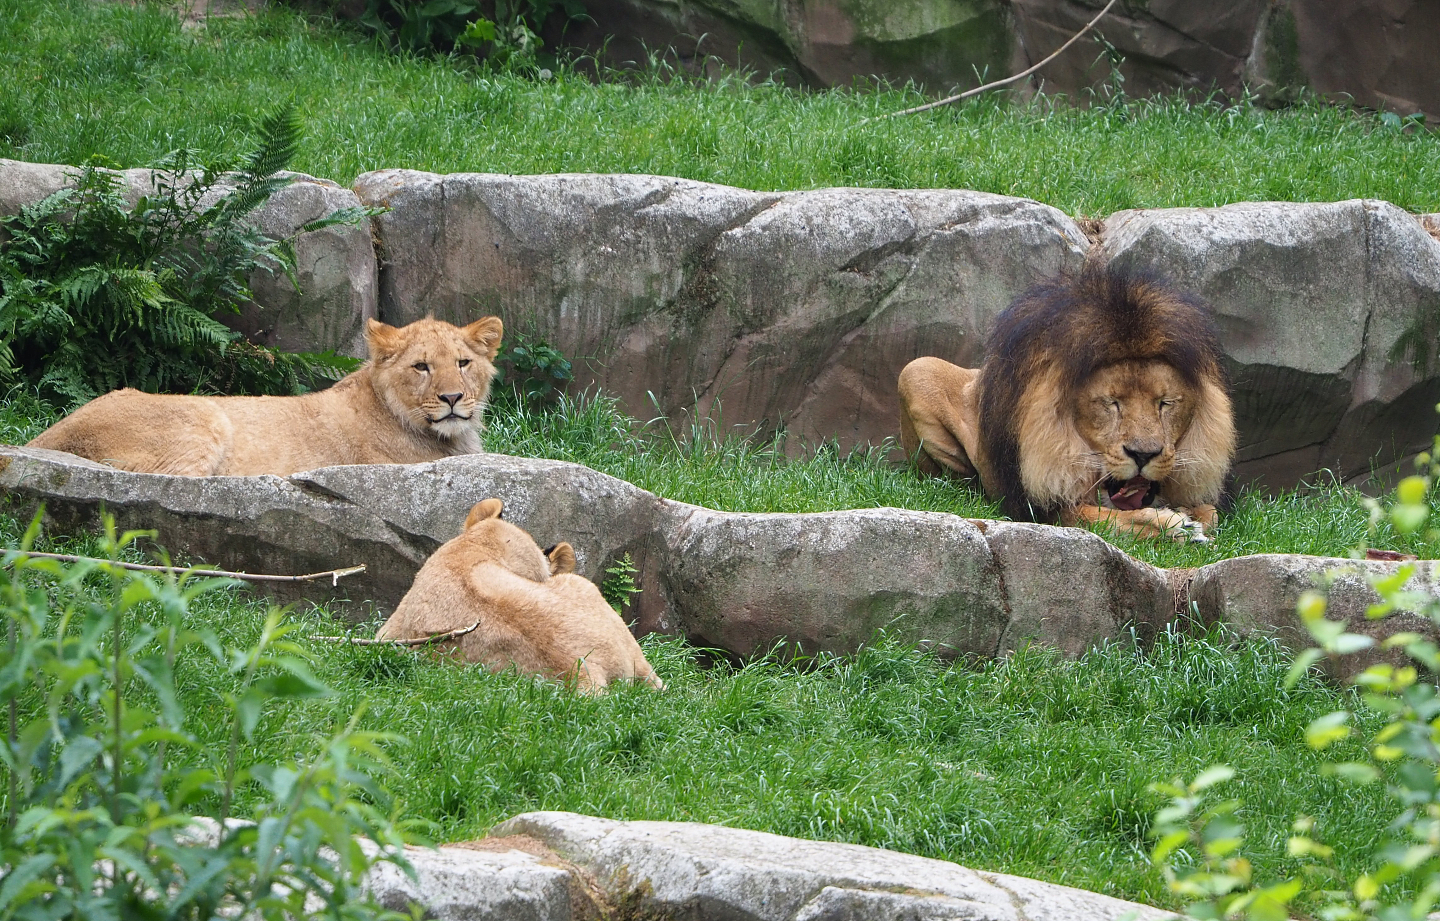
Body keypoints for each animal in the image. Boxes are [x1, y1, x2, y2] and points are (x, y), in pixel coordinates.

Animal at [898, 265, 1235, 542]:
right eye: (1111, 402)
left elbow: (1211, 513)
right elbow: (1100, 518)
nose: (1143, 455)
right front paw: (1172, 527)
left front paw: (1191, 517)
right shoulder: (1042, 507)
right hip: (916, 370)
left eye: (1165, 403)